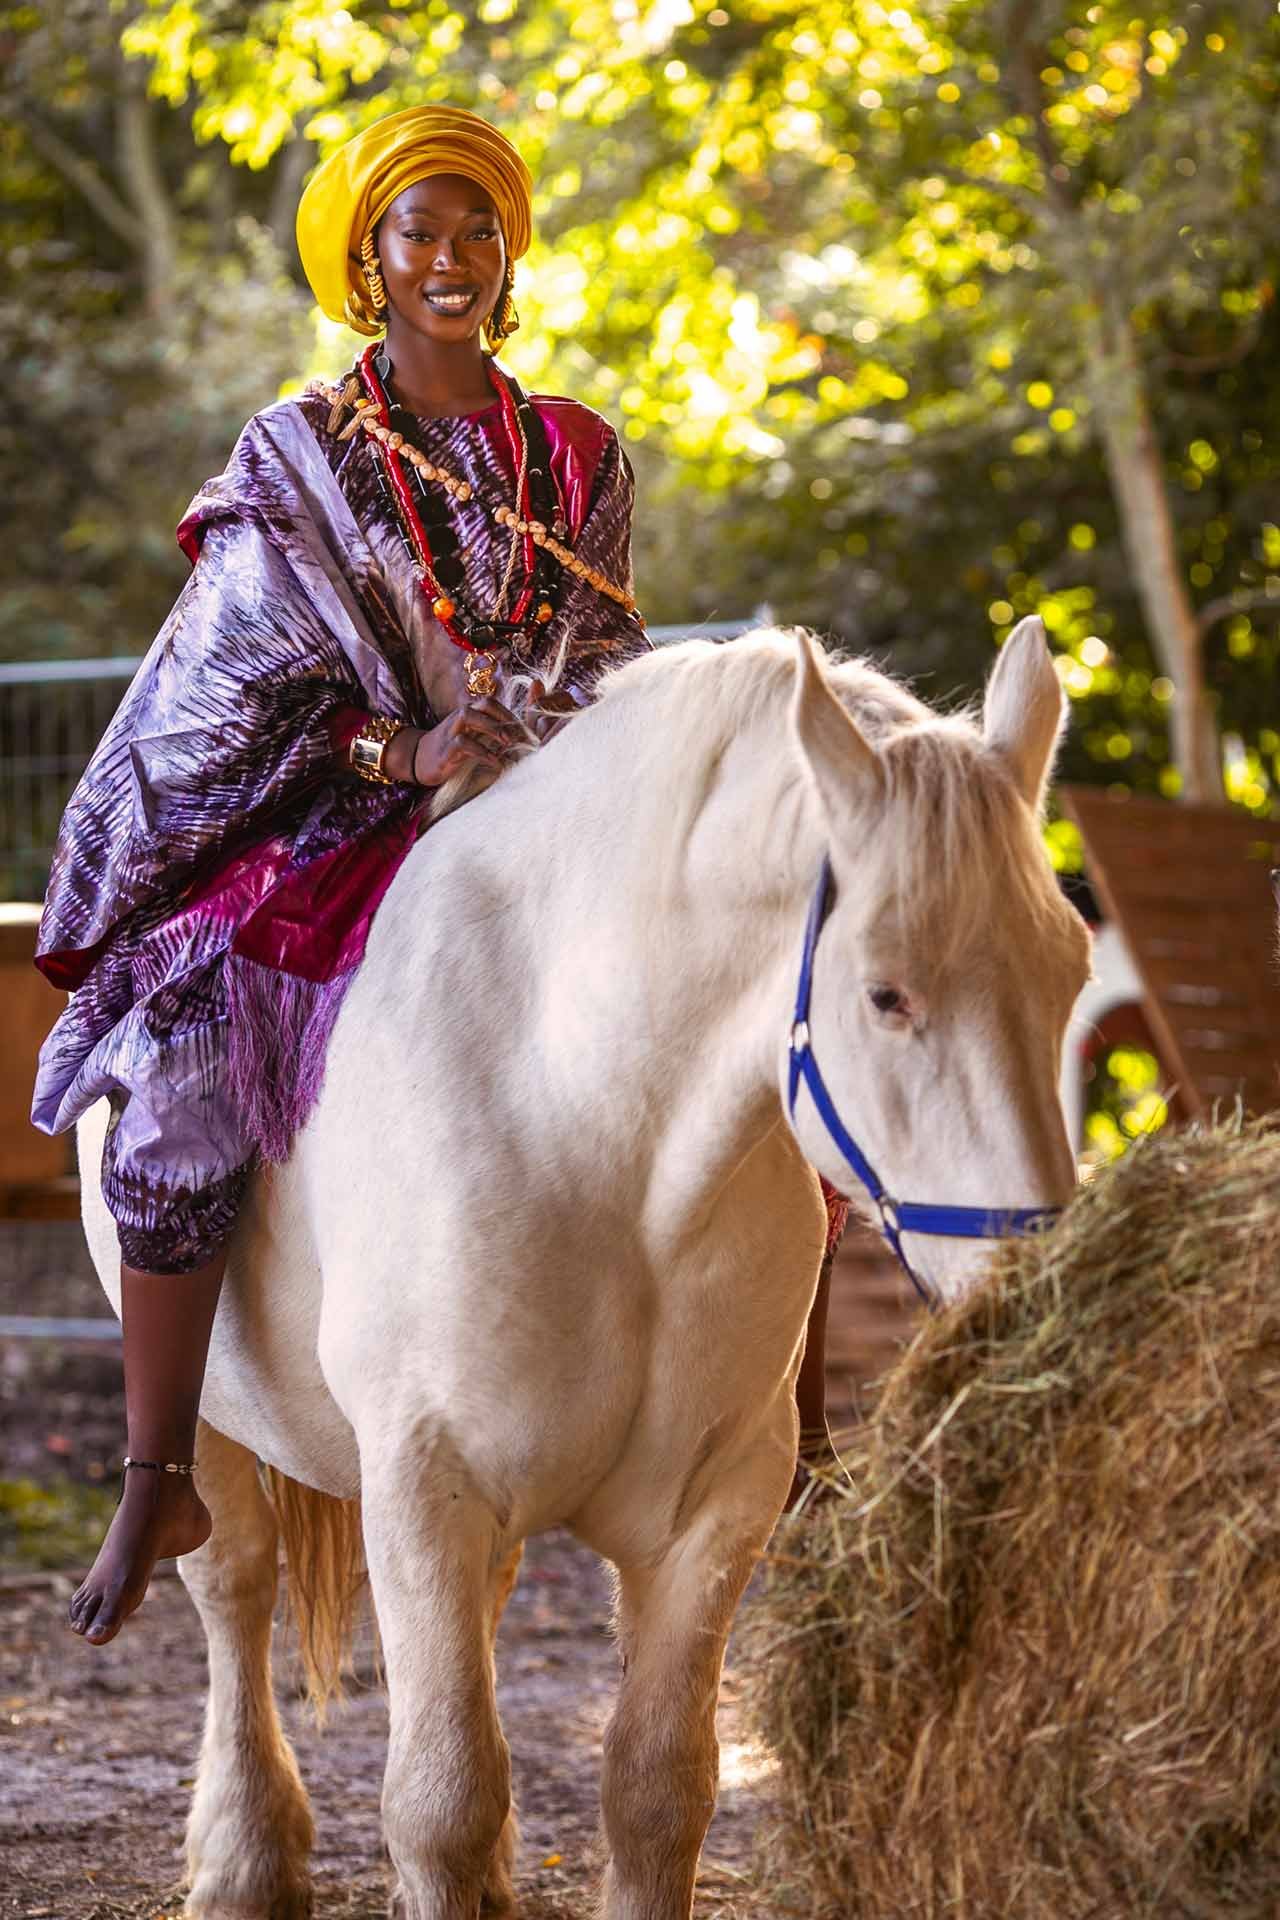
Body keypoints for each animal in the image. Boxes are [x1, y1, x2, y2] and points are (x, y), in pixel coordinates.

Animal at [77, 622, 1090, 1912]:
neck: (592, 1118)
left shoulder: (711, 1514)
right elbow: (440, 1805)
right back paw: (245, 1856)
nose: (1030, 1286)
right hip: (211, 1418)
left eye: (1066, 973)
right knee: (234, 1584)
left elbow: (657, 1794)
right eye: (884, 993)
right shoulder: (420, 1490)